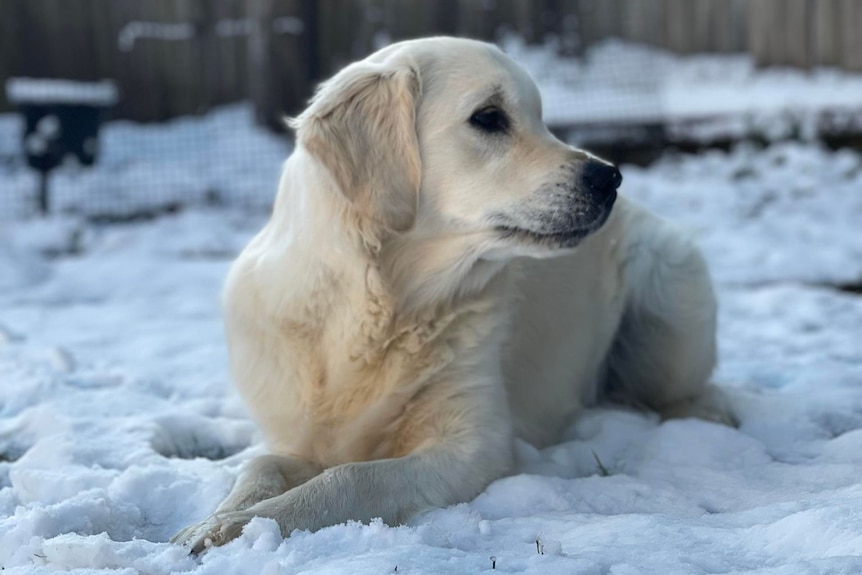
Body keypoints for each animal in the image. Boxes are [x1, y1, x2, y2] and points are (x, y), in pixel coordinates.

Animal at [176, 37, 736, 552]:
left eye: (540, 118)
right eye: (488, 117)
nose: (610, 177)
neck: (378, 306)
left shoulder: (474, 445)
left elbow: (350, 475)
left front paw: (247, 524)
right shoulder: (296, 435)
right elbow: (259, 465)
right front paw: (217, 522)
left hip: (666, 294)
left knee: (684, 390)